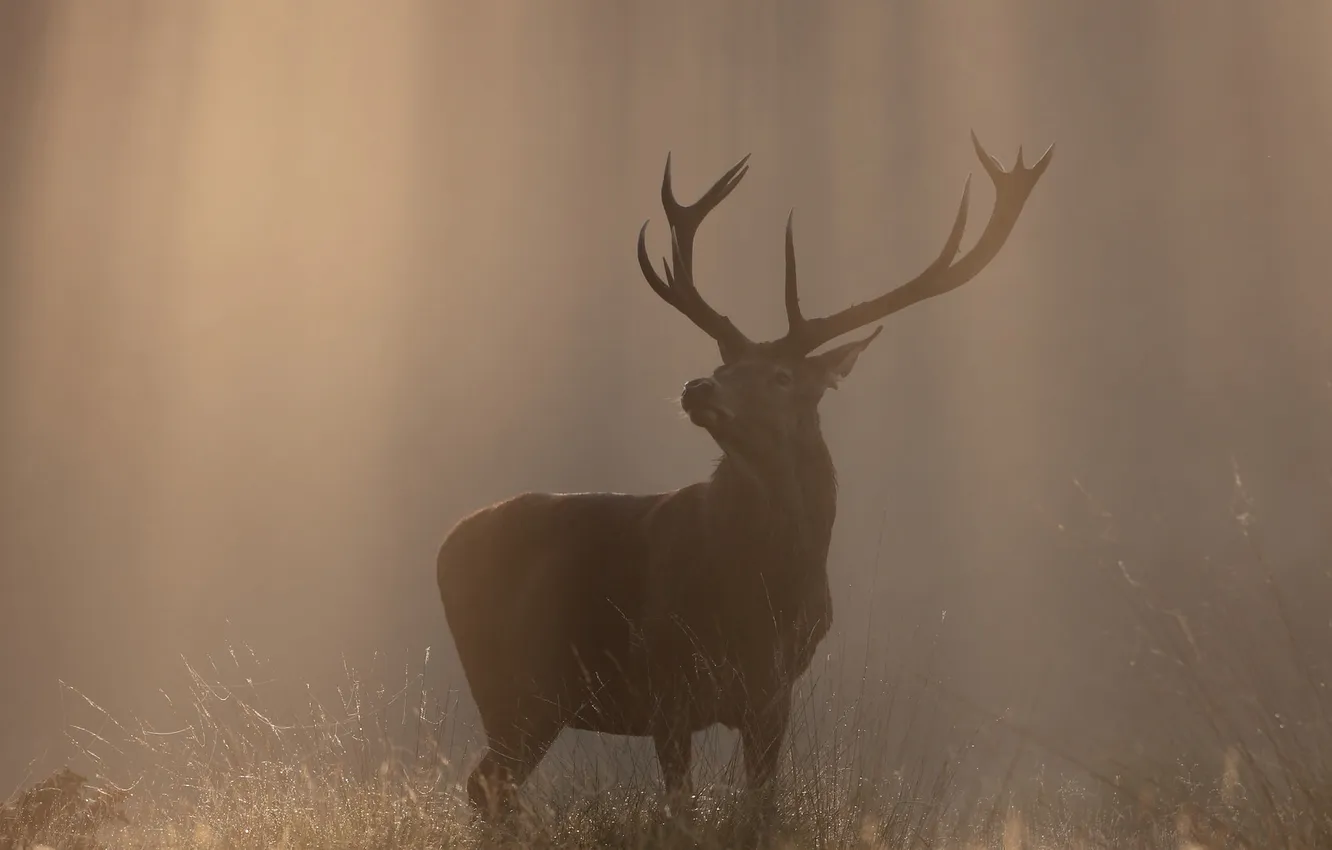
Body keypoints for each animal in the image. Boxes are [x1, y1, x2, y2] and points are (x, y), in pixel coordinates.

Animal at [436, 133, 1049, 820]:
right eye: (725, 365)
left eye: (781, 377)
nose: (697, 387)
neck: (764, 589)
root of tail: (445, 546)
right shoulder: (666, 677)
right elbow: (680, 807)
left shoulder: (773, 692)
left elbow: (760, 802)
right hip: (513, 681)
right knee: (489, 783)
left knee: (490, 783)